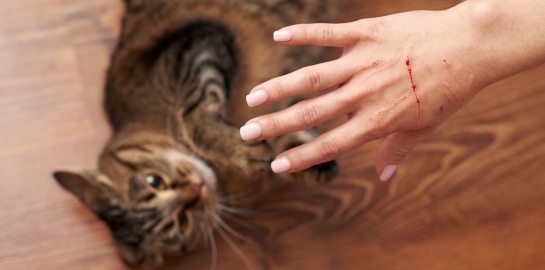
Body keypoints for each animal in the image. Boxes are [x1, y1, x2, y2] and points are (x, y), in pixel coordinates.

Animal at [53, 0, 338, 266]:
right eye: (182, 221)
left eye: (154, 181)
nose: (195, 188)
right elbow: (287, 144)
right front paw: (310, 164)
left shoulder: (196, 45)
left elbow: (193, 112)